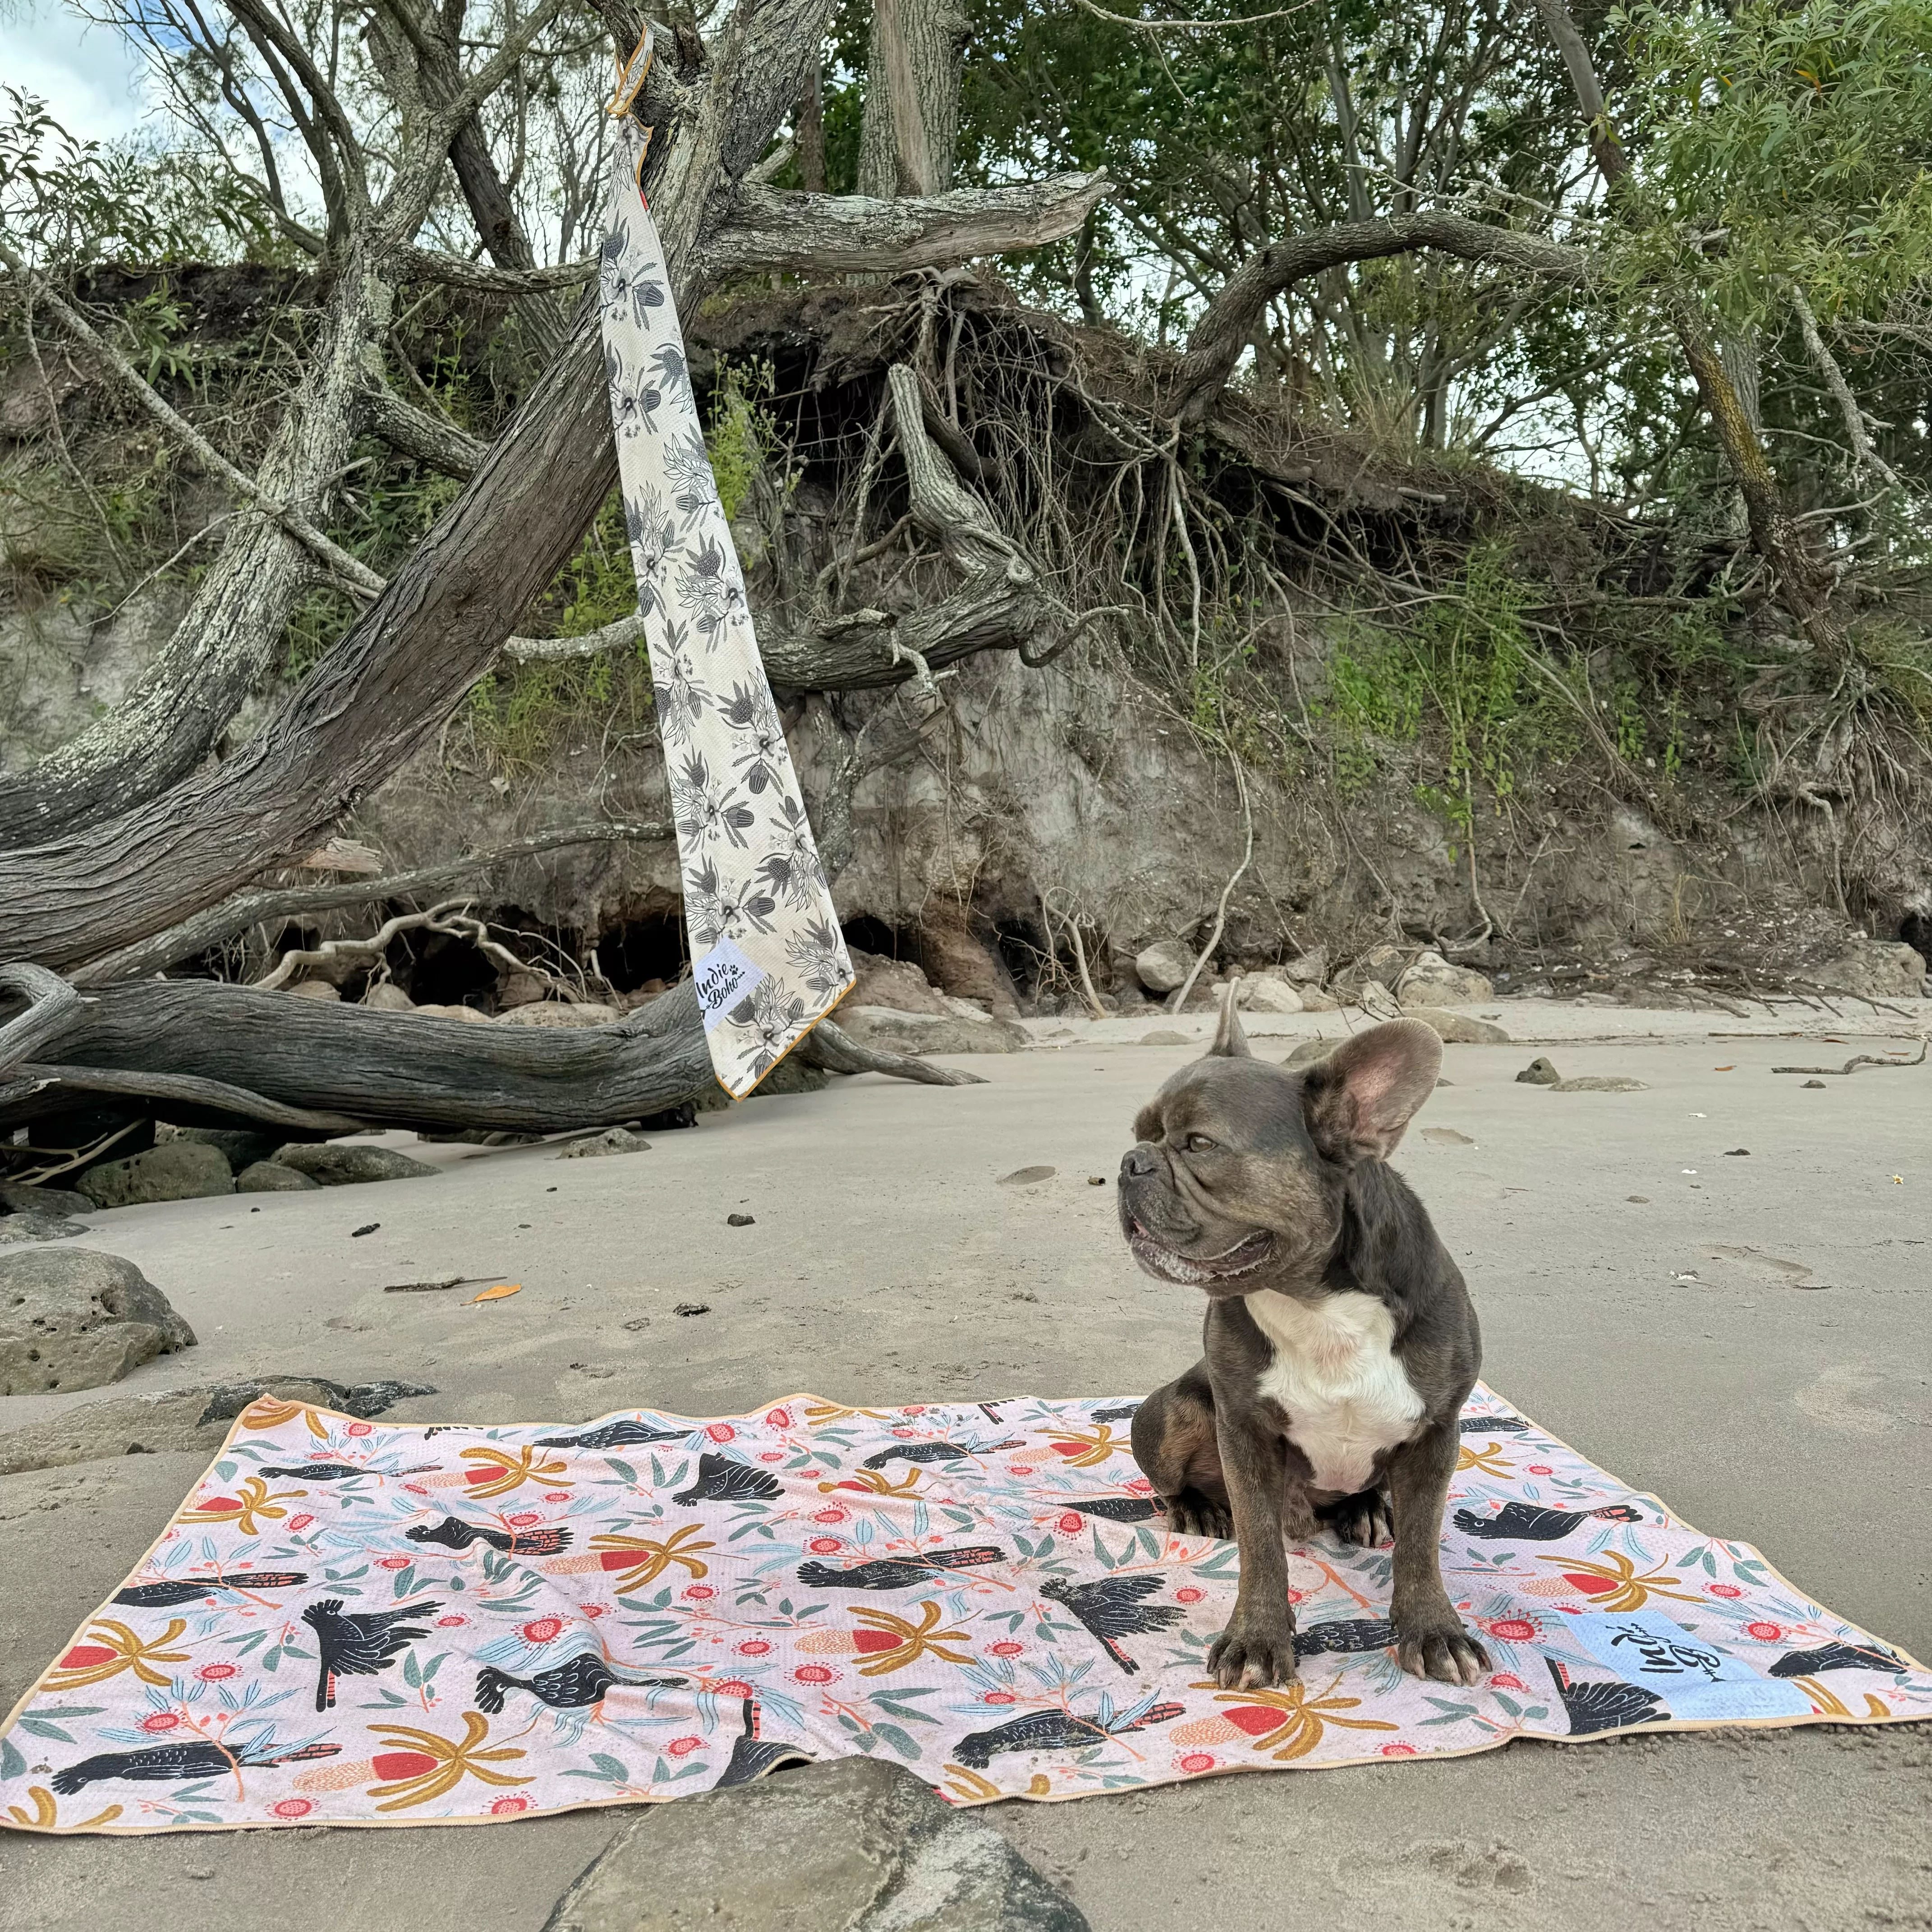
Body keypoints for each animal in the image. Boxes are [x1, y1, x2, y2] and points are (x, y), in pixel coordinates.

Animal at [1128, 997, 1484, 1692]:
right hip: (1174, 1410)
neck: (1316, 1302)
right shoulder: (1244, 1432)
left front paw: (1434, 1631)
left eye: (1200, 1144)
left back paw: (1366, 1509)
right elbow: (1261, 1549)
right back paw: (1195, 1509)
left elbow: (1422, 1547)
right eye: (1138, 1132)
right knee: (1175, 1480)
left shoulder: (1436, 1433)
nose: (1131, 1162)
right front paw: (1258, 1640)